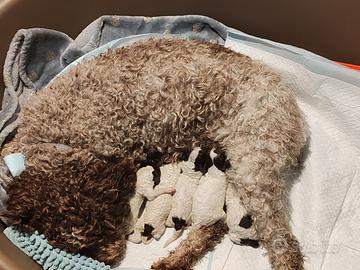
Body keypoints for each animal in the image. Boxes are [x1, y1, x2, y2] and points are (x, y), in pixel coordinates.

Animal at [1, 38, 308, 270]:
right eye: (70, 245)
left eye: (101, 230)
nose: (110, 259)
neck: (58, 140)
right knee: (215, 226)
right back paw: (173, 262)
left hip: (254, 164)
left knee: (284, 244)